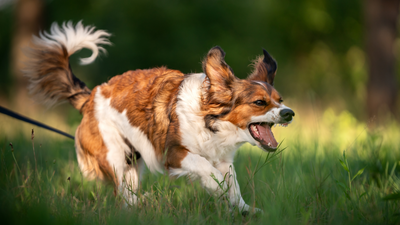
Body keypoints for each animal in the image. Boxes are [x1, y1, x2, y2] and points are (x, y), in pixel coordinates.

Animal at [25, 21, 294, 213]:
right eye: (259, 103)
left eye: (280, 100)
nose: (289, 113)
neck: (210, 122)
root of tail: (90, 97)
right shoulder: (174, 154)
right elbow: (207, 169)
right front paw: (217, 189)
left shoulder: (224, 159)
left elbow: (233, 184)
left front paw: (244, 209)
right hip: (114, 156)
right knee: (123, 193)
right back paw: (144, 203)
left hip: (132, 162)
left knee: (127, 196)